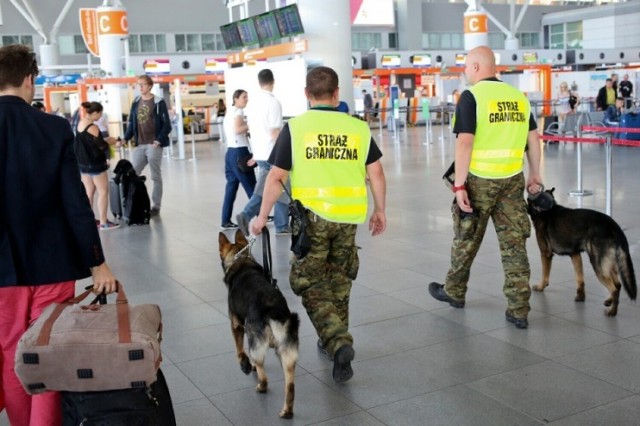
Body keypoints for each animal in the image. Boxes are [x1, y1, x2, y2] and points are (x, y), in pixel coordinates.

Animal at [218, 231, 300, 418]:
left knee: (263, 373)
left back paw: (261, 386)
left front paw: (246, 365)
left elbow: (240, 351)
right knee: (290, 385)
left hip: (252, 334)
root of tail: (273, 311)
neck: (241, 261)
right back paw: (287, 411)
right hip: (287, 352)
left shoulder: (236, 326)